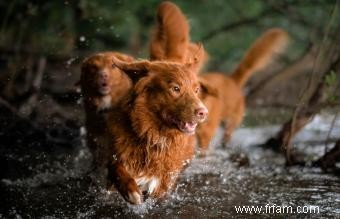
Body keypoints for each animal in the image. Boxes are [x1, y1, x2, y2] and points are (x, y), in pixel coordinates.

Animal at [105, 56, 209, 204]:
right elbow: (116, 167)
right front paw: (131, 191)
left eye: (196, 90)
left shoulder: (163, 185)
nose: (204, 112)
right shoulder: (115, 156)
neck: (153, 136)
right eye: (176, 88)